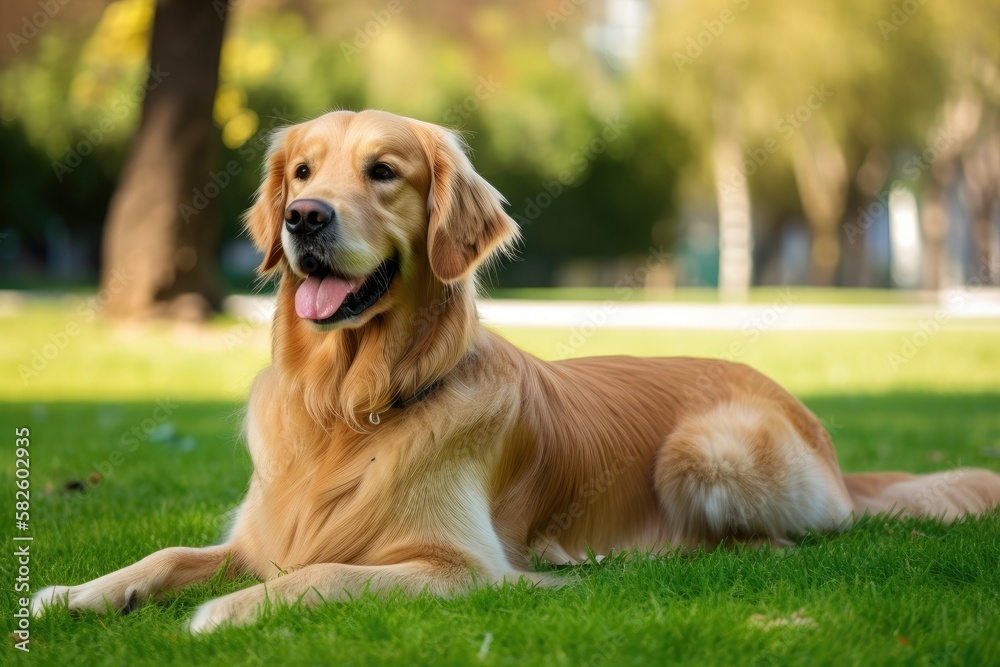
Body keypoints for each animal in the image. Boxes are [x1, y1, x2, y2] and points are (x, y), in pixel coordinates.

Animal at [33, 108, 1000, 632]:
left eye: (383, 172)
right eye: (301, 171)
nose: (305, 217)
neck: (350, 405)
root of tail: (820, 430)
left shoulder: (459, 567)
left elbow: (320, 574)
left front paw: (227, 612)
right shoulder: (257, 533)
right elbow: (166, 553)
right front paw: (75, 592)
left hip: (707, 447)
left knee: (779, 541)